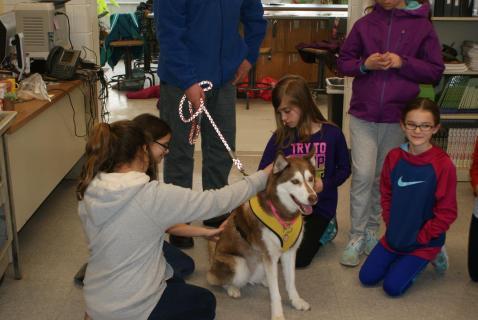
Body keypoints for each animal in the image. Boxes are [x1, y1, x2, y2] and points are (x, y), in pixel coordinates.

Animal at [206, 154, 316, 318]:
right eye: (295, 181)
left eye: (310, 179)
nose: (313, 198)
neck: (284, 217)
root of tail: (212, 259)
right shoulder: (269, 256)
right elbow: (276, 294)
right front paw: (277, 314)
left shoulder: (290, 252)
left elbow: (291, 282)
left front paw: (296, 301)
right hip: (239, 265)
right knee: (220, 280)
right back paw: (232, 288)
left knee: (258, 279)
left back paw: (263, 281)